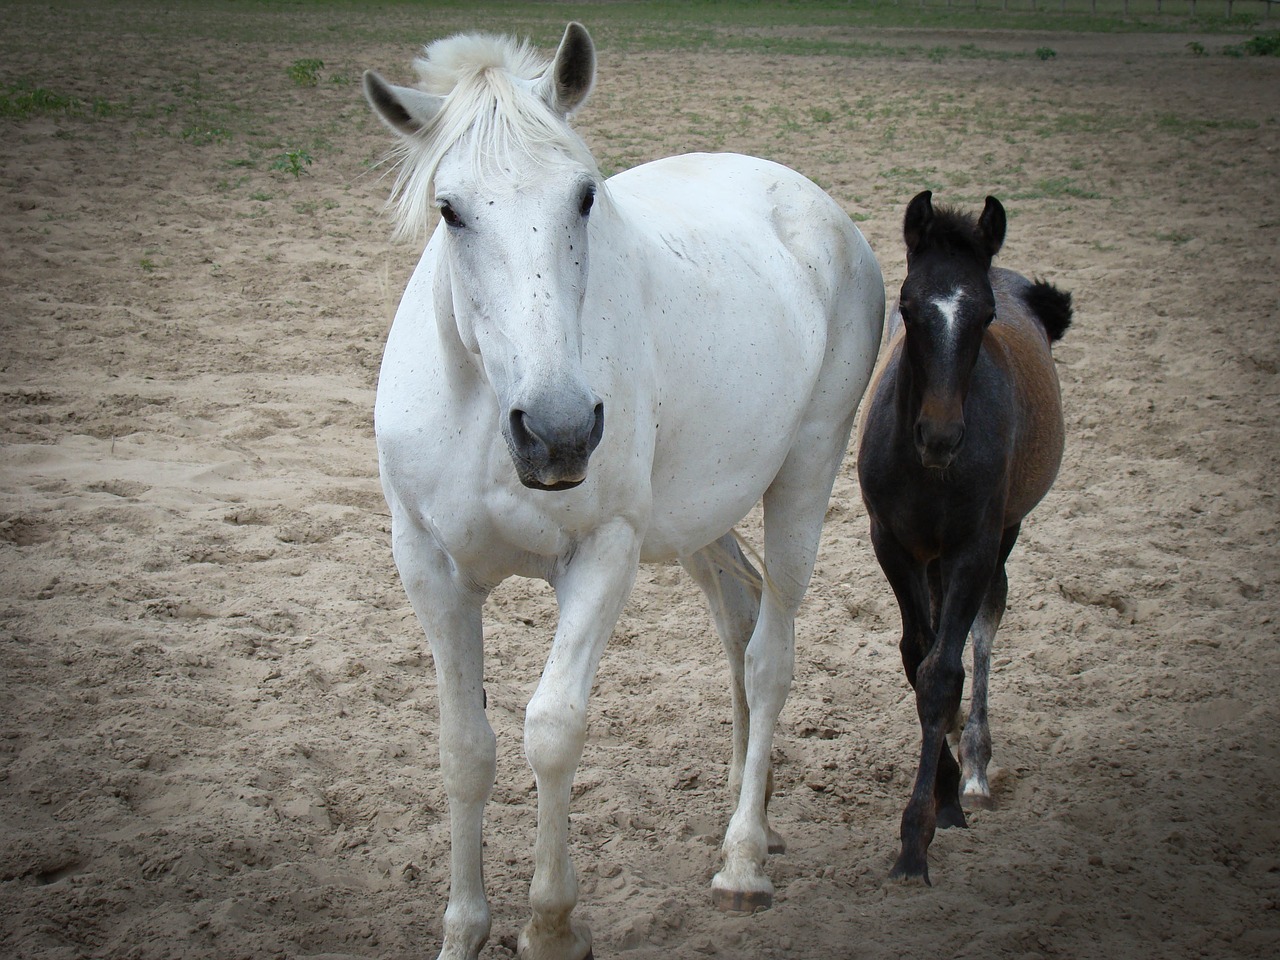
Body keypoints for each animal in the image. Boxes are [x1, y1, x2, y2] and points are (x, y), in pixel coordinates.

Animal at [360, 22, 880, 960]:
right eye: (450, 209)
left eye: (584, 197)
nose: (558, 431)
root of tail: (817, 210)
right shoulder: (427, 564)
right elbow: (465, 750)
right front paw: (464, 930)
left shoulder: (604, 553)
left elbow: (551, 731)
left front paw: (553, 925)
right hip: (700, 519)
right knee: (740, 621)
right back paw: (753, 812)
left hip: (804, 478)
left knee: (770, 654)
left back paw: (743, 859)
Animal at [860, 189, 1070, 885]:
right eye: (906, 307)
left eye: (984, 316)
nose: (941, 436)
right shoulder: (892, 544)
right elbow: (914, 656)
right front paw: (941, 792)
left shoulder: (974, 546)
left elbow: (943, 672)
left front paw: (918, 836)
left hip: (1002, 533)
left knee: (985, 622)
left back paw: (975, 763)